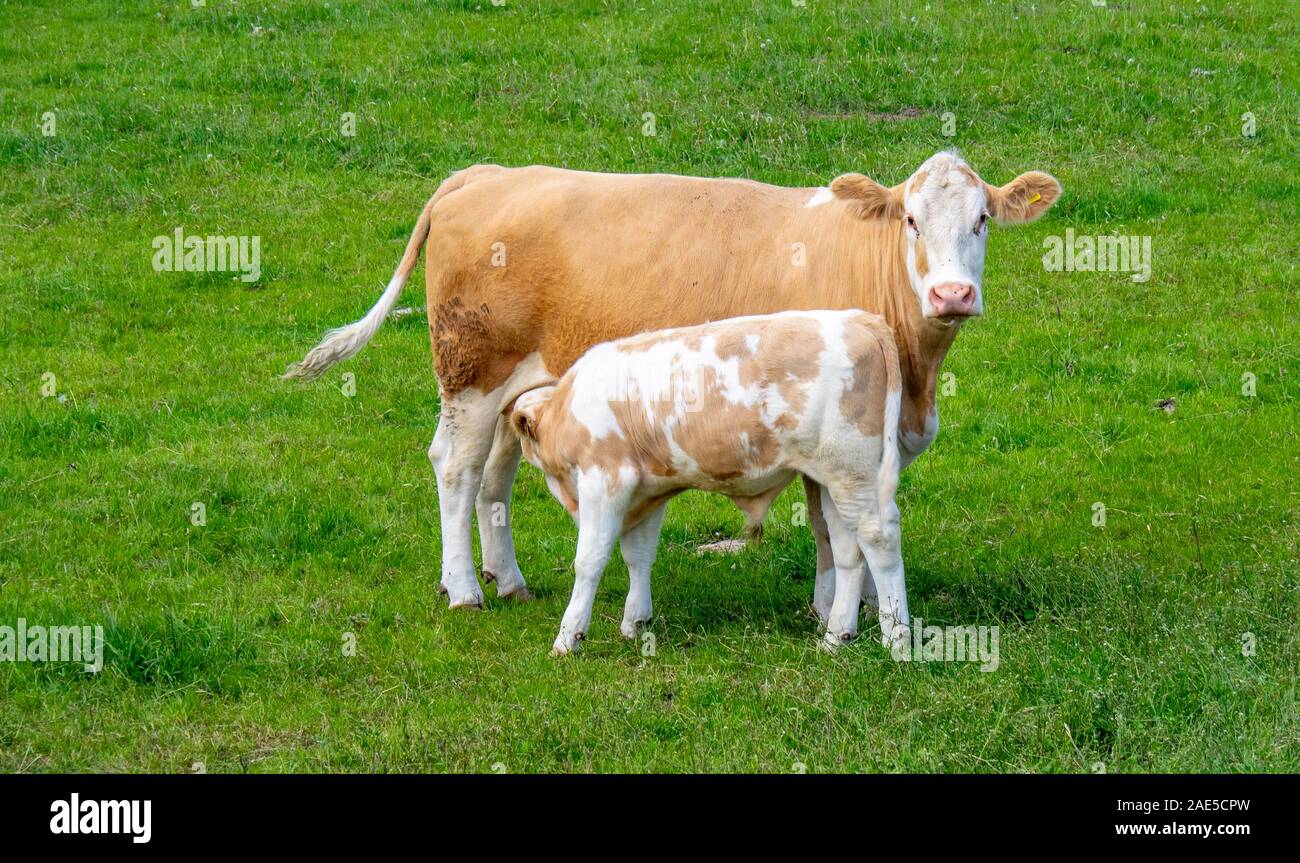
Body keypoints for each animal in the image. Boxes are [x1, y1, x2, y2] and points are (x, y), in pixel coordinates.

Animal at [285, 151, 1061, 616]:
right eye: (910, 219)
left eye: (982, 220)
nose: (953, 294)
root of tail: (487, 173)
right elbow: (827, 526)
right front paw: (833, 608)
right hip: (472, 374)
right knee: (455, 467)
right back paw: (465, 588)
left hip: (520, 387)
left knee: (493, 480)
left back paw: (508, 579)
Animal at [506, 309, 908, 654]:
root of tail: (857, 318)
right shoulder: (647, 490)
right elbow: (638, 555)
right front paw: (635, 623)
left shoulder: (606, 480)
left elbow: (589, 560)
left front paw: (568, 637)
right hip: (832, 478)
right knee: (847, 551)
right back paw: (836, 638)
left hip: (852, 471)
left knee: (879, 539)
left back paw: (897, 641)